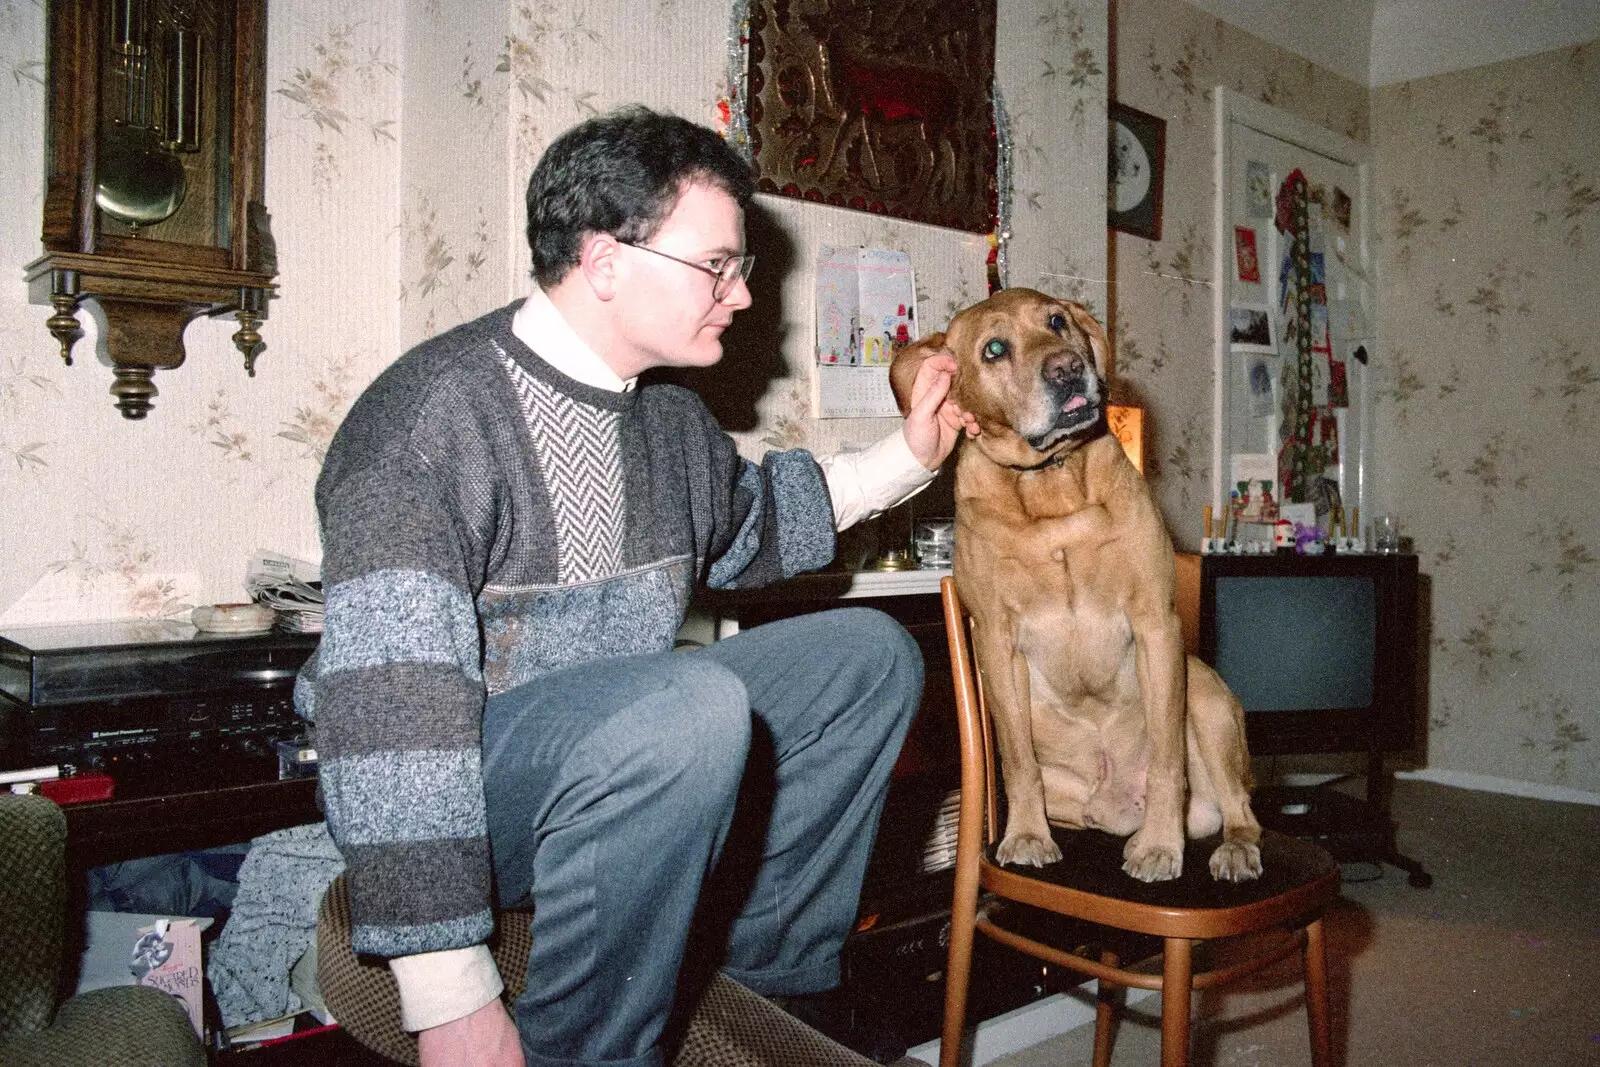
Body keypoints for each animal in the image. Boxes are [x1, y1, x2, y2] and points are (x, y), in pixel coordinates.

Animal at [889, 287, 1260, 883]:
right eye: (994, 349)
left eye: (1057, 322)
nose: (1067, 368)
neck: (1050, 490)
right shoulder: (995, 640)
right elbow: (1017, 762)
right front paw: (1025, 836)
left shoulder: (1156, 624)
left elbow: (1166, 761)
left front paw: (1161, 845)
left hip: (1204, 694)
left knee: (1241, 808)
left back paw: (1232, 848)